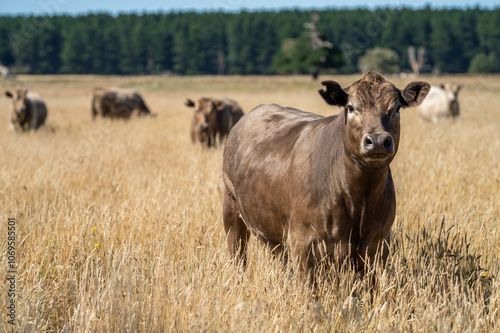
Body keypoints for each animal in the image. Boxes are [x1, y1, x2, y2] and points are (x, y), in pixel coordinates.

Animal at [223, 71, 430, 282]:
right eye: (350, 107)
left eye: (397, 108)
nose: (378, 140)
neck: (359, 199)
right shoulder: (302, 243)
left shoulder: (378, 245)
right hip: (231, 211)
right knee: (237, 252)